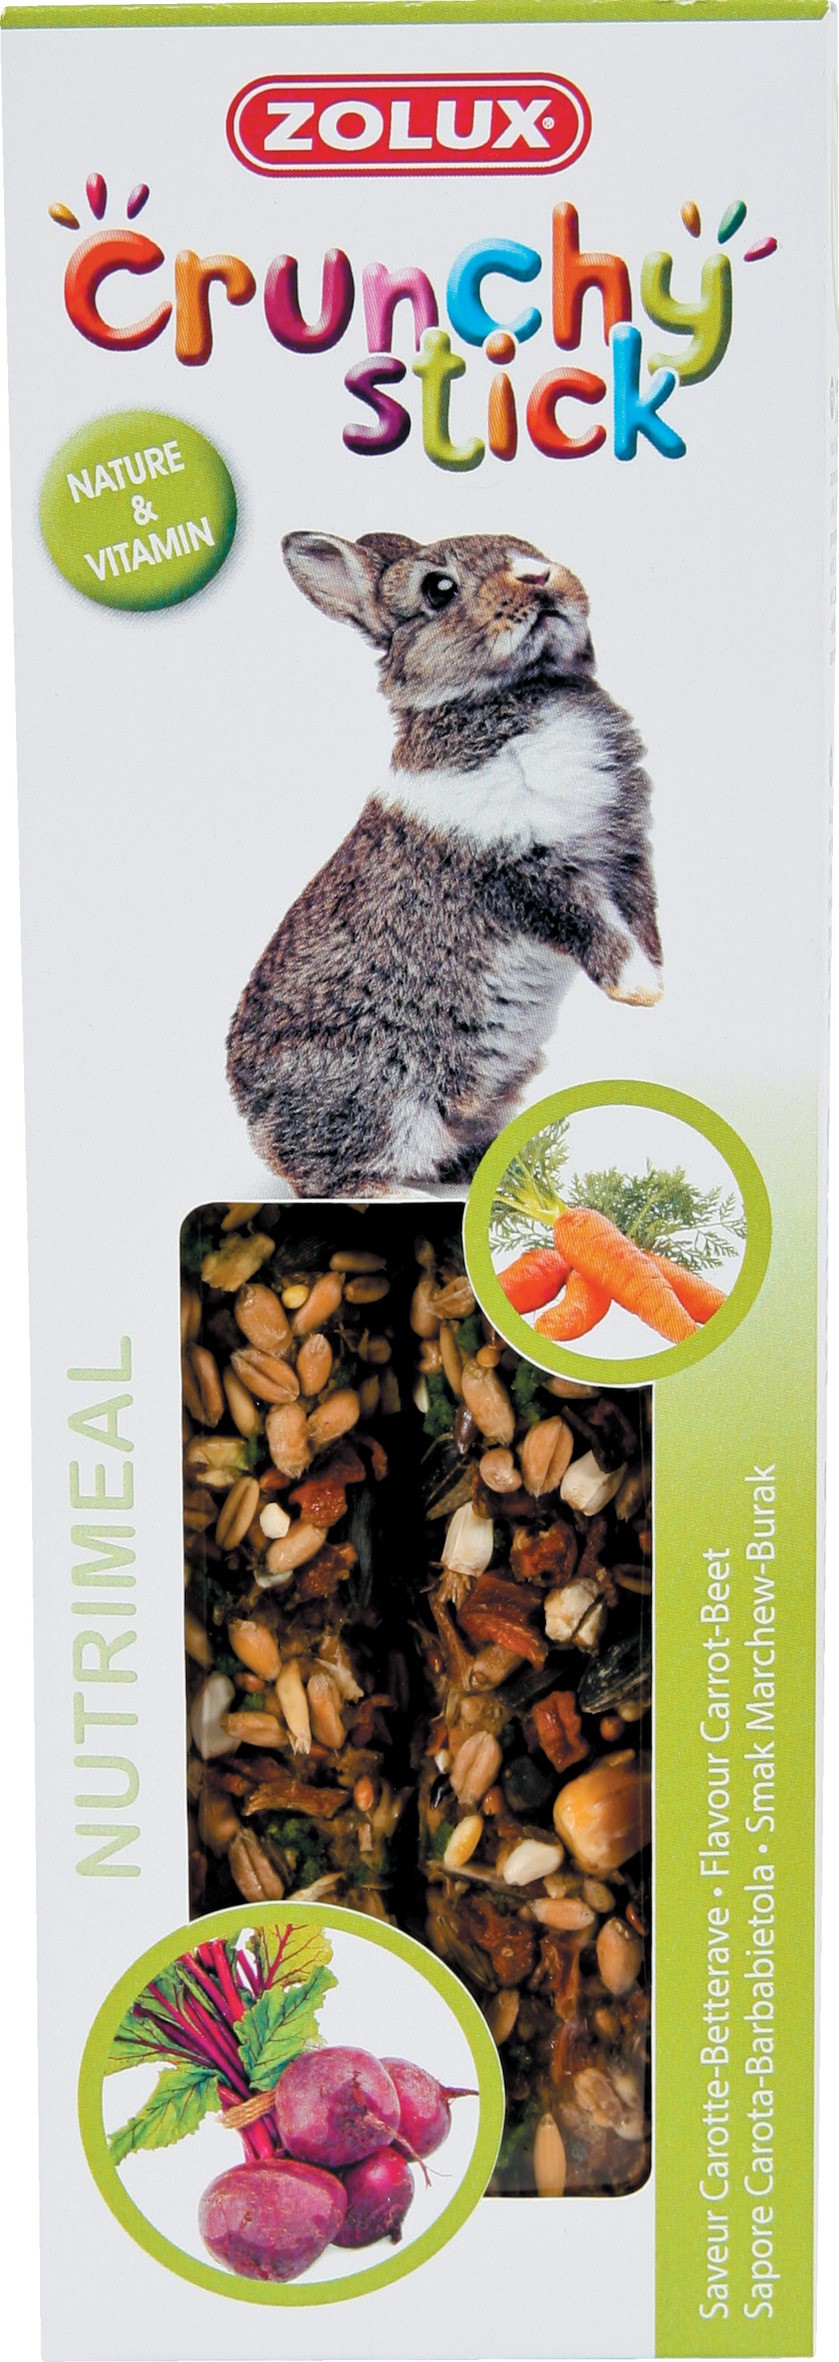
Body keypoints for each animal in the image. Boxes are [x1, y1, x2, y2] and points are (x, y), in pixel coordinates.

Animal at [227, 530, 663, 1198]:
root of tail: (258, 1125)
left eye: (524, 543)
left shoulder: (624, 852)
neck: (520, 692)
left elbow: (640, 918)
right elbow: (592, 927)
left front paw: (658, 982)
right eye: (438, 589)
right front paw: (640, 992)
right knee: (340, 1179)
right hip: (383, 1096)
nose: (538, 576)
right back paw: (405, 1193)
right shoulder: (520, 870)